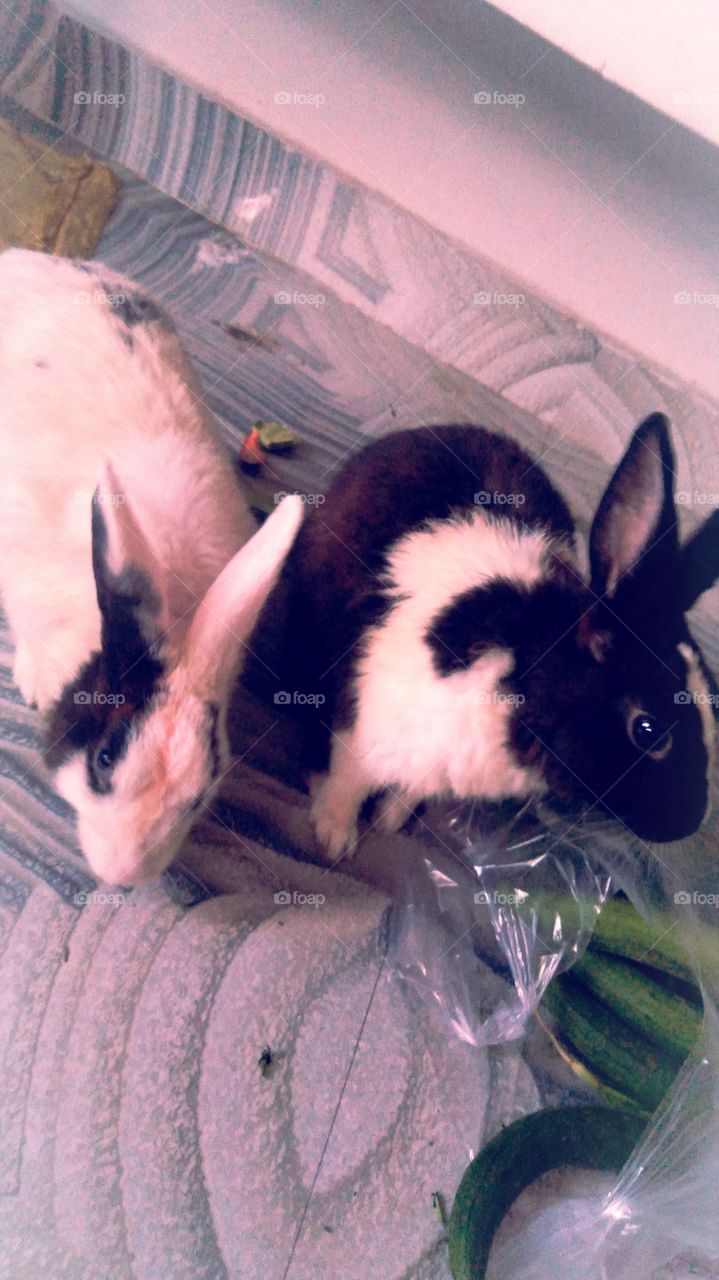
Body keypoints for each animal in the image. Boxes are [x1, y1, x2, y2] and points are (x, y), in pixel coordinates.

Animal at [256, 414, 719, 857]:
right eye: (647, 731)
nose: (687, 825)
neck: (522, 679)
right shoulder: (366, 720)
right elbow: (348, 780)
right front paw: (334, 836)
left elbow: (408, 790)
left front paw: (390, 821)